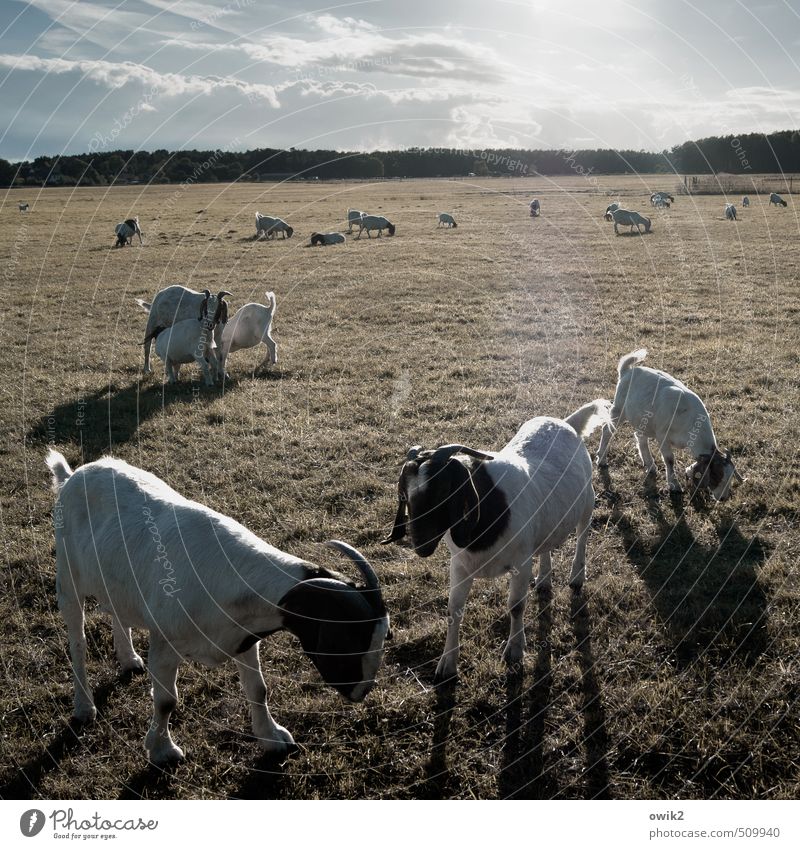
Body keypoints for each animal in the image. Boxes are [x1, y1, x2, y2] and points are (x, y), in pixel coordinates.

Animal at [47, 448, 390, 764]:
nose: (362, 692)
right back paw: (84, 707)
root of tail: (74, 475)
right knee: (77, 641)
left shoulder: (245, 637)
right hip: (68, 578)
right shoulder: (165, 644)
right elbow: (166, 701)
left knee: (118, 611)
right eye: (349, 641)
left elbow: (259, 689)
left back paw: (129, 659)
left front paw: (273, 738)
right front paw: (163, 751)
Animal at [384, 398, 608, 684]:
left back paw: (577, 576)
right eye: (405, 493)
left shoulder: (521, 563)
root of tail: (565, 423)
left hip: (587, 501)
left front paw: (514, 650)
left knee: (582, 537)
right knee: (546, 544)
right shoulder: (460, 565)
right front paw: (447, 664)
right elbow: (453, 609)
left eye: (444, 489)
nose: (420, 543)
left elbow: (516, 606)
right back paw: (544, 580)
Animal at [592, 348, 744, 500]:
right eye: (716, 475)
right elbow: (670, 459)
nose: (723, 498)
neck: (689, 419)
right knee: (607, 430)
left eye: (730, 477)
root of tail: (627, 371)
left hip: (643, 420)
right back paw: (602, 459)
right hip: (619, 409)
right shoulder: (662, 435)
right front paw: (674, 485)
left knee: (640, 438)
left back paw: (650, 466)